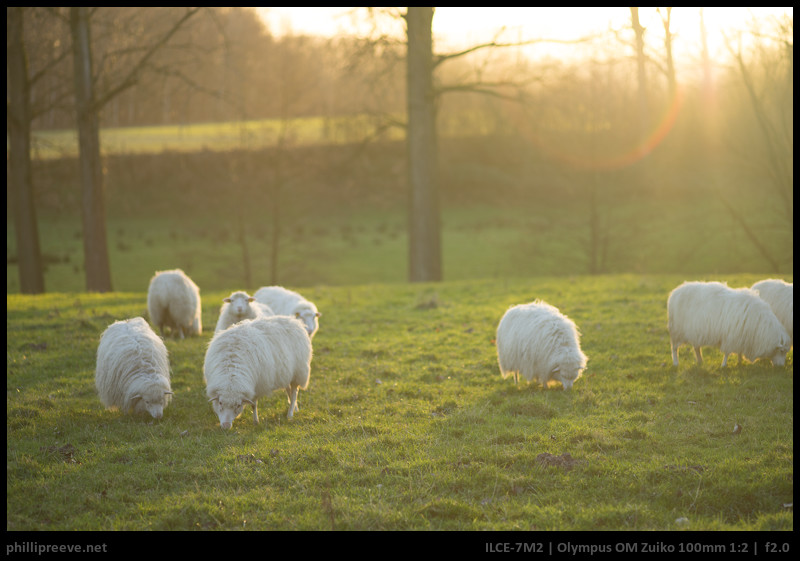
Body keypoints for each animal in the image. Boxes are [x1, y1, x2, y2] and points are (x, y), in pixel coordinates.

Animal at [664, 280, 792, 368]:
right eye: (781, 351)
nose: (781, 367)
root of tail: (675, 291)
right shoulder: (731, 335)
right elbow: (727, 352)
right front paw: (724, 365)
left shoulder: (741, 335)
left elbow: (738, 350)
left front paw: (740, 361)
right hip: (676, 331)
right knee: (674, 348)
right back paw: (676, 363)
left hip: (695, 331)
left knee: (696, 347)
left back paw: (700, 361)